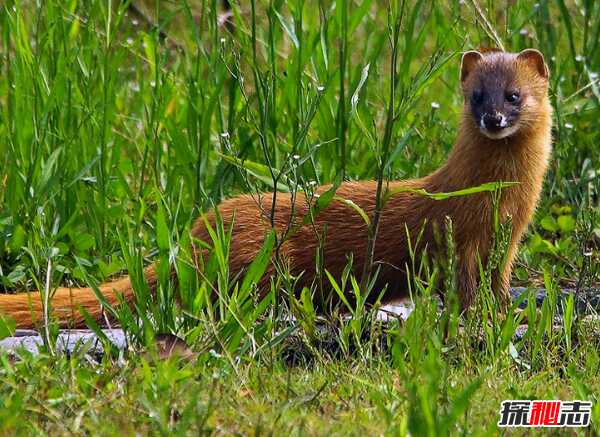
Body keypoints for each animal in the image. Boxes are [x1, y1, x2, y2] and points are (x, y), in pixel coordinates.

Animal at [0, 48, 552, 328]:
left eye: (514, 94)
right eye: (476, 94)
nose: (493, 117)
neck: (502, 199)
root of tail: (194, 238)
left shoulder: (506, 242)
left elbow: (497, 282)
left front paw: (504, 309)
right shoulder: (462, 236)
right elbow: (464, 284)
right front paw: (478, 318)